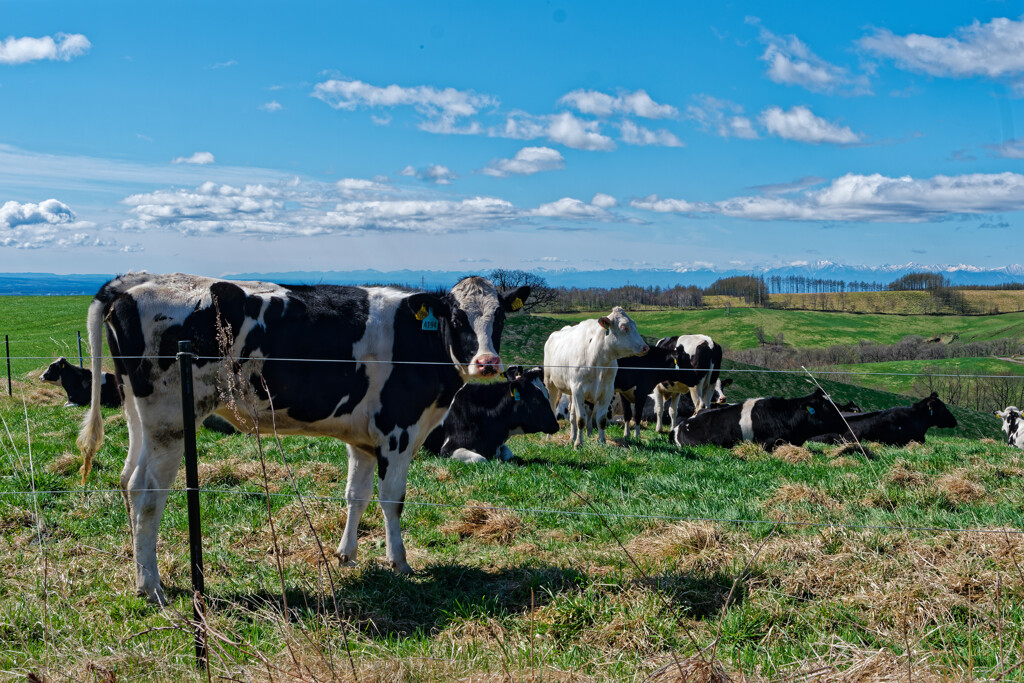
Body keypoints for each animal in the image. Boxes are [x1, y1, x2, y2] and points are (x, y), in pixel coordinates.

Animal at [76, 272, 528, 602]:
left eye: (500, 318)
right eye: (457, 319)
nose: (488, 362)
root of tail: (130, 284)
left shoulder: (363, 439)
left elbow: (356, 495)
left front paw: (346, 555)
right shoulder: (398, 430)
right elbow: (392, 500)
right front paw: (399, 563)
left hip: (138, 416)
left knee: (126, 479)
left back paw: (139, 570)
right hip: (170, 421)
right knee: (146, 492)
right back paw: (151, 586)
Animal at [417, 368, 557, 464]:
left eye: (547, 394)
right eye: (536, 399)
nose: (555, 425)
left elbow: (508, 454)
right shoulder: (448, 449)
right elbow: (481, 459)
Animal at [544, 309, 647, 448]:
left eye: (635, 325)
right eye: (623, 327)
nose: (645, 347)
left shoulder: (607, 391)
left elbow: (601, 419)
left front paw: (602, 441)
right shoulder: (578, 390)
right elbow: (581, 419)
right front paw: (578, 444)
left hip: (570, 392)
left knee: (572, 414)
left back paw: (572, 437)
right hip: (550, 383)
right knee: (553, 407)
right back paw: (550, 437)